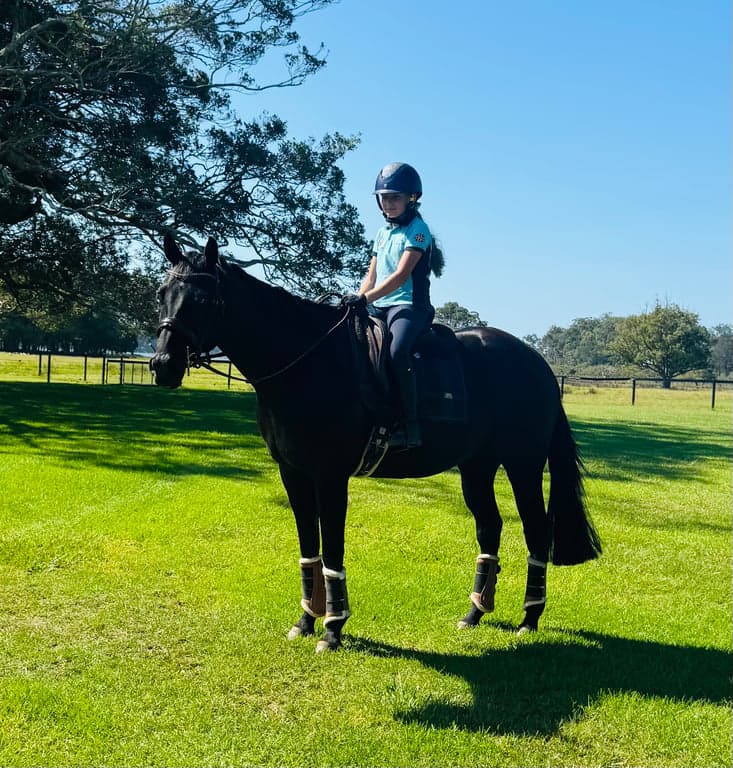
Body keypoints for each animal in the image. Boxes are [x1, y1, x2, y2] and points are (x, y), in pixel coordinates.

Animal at [150, 233, 601, 652]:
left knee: (536, 530)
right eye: (162, 293)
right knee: (490, 527)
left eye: (204, 299)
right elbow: (309, 548)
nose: (162, 365)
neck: (308, 360)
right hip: (476, 467)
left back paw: (530, 618)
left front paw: (332, 628)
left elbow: (332, 548)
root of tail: (536, 362)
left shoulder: (330, 476)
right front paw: (306, 621)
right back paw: (474, 612)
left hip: (524, 464)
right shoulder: (293, 473)